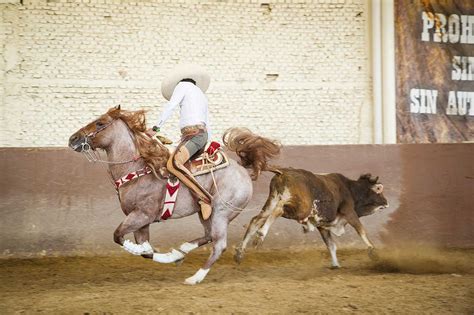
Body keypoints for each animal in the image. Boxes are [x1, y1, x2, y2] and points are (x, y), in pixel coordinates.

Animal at [68, 106, 280, 286]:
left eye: (100, 123)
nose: (73, 138)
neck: (138, 170)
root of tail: (244, 171)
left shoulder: (141, 215)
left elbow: (119, 237)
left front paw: (167, 256)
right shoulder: (141, 223)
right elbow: (145, 250)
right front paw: (172, 256)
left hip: (221, 212)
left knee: (219, 244)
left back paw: (195, 277)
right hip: (205, 213)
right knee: (208, 235)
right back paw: (183, 249)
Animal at [234, 169, 388, 268]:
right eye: (379, 190)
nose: (386, 203)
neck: (350, 189)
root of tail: (284, 172)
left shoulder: (322, 226)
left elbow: (331, 245)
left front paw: (335, 264)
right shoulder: (350, 213)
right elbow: (361, 230)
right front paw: (372, 251)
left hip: (271, 203)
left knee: (256, 220)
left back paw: (240, 252)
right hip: (301, 209)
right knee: (279, 209)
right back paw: (260, 235)